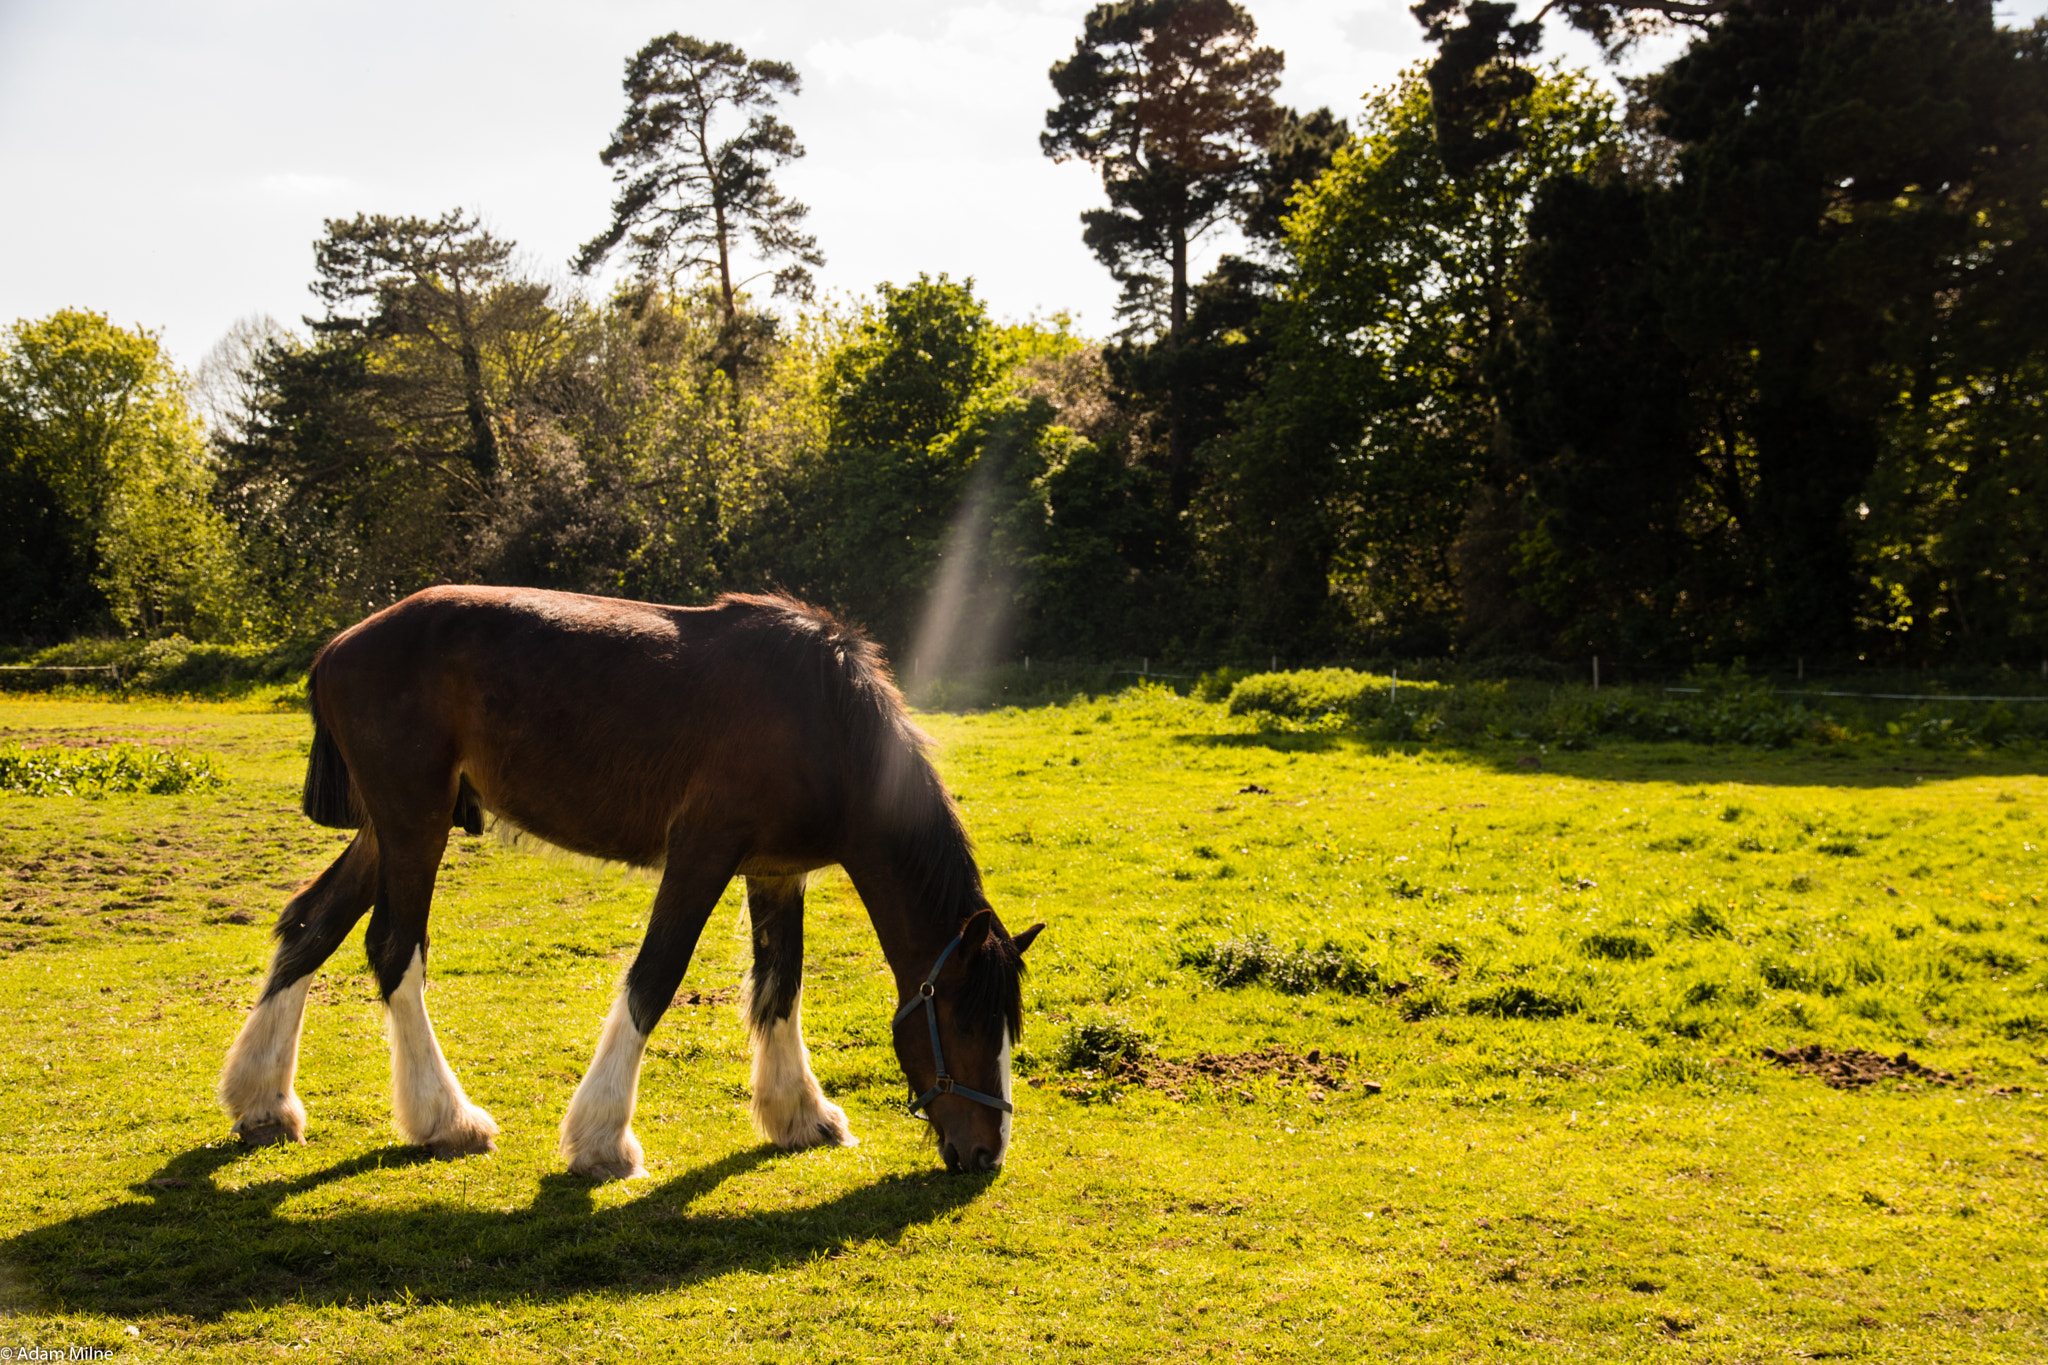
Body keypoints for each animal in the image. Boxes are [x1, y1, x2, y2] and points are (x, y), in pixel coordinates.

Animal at [217, 585, 1043, 1177]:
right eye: (968, 1020)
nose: (987, 1153)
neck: (823, 719)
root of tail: (338, 648)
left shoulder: (776, 872)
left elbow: (781, 984)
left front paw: (800, 1114)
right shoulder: (703, 852)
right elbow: (655, 976)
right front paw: (603, 1137)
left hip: (389, 830)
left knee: (309, 924)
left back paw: (263, 1100)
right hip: (413, 824)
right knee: (392, 949)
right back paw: (445, 1117)